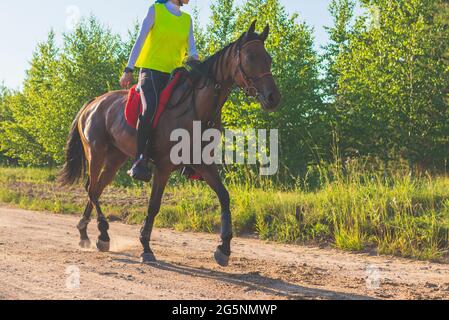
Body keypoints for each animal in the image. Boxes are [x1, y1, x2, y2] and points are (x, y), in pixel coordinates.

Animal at [57, 20, 278, 264]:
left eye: (268, 58)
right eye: (250, 57)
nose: (273, 98)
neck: (196, 108)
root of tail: (94, 102)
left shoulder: (203, 164)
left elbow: (224, 197)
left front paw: (224, 248)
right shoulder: (163, 166)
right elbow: (154, 206)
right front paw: (146, 248)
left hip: (115, 158)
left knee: (96, 188)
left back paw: (87, 233)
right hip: (96, 152)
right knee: (92, 188)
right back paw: (102, 233)